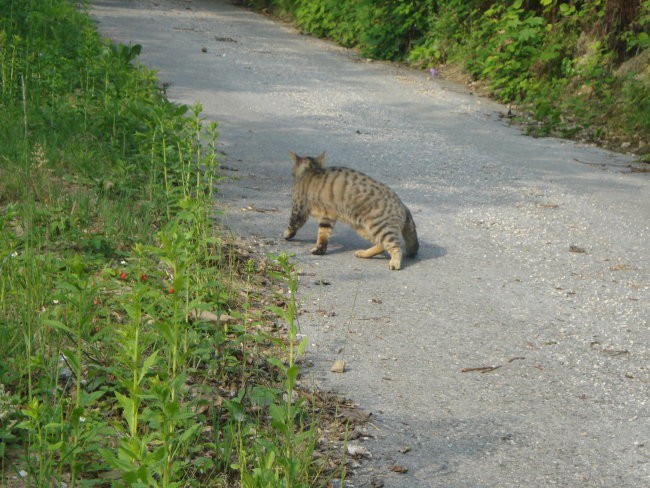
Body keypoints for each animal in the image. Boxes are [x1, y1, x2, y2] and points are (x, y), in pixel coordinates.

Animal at [284, 151, 420, 268]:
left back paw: (394, 263)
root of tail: (403, 205)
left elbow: (293, 224)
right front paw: (319, 250)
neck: (311, 170)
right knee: (382, 245)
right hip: (364, 228)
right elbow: (323, 235)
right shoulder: (327, 216)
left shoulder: (299, 208)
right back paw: (364, 253)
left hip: (380, 227)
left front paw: (286, 234)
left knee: (396, 247)